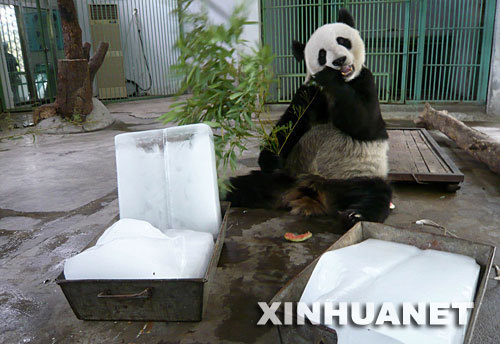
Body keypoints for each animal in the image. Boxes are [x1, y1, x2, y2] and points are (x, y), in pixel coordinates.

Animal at [225, 8, 392, 230]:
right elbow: (289, 124)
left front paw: (330, 77)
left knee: (375, 195)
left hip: (357, 175)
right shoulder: (309, 94)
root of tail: (312, 190)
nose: (339, 61)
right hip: (285, 178)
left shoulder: (364, 81)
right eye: (322, 54)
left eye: (342, 41)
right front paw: (269, 159)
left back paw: (354, 215)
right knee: (242, 186)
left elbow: (365, 124)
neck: (339, 85)